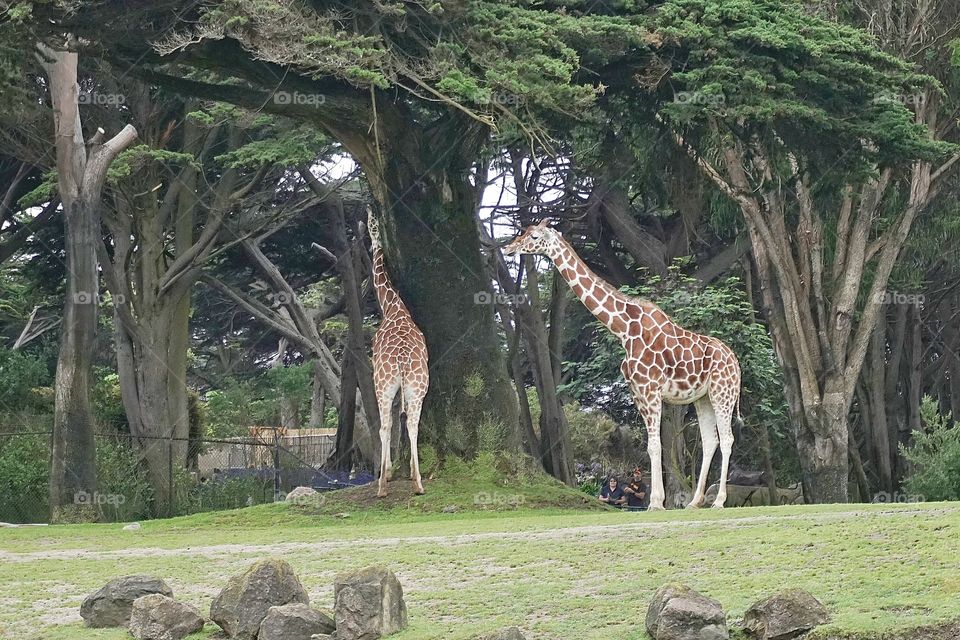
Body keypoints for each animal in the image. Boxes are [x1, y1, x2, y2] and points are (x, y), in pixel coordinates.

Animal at [502, 220, 744, 510]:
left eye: (535, 236)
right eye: (524, 233)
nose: (508, 248)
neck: (623, 329)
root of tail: (736, 363)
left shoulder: (650, 391)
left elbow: (655, 446)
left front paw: (655, 502)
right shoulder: (638, 393)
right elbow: (654, 446)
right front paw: (659, 501)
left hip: (723, 392)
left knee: (727, 439)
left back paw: (718, 501)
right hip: (702, 397)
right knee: (710, 441)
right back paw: (695, 502)